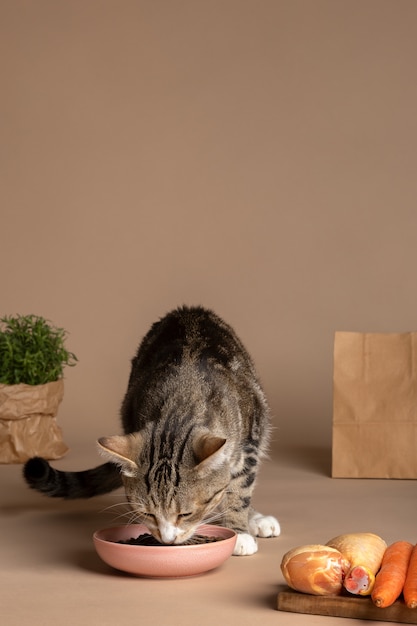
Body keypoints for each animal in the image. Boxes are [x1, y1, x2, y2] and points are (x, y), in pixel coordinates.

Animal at [25, 304, 280, 552]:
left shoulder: (249, 440)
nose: (167, 540)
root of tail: (188, 309)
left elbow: (239, 489)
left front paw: (239, 532)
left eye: (186, 513)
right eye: (147, 513)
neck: (180, 408)